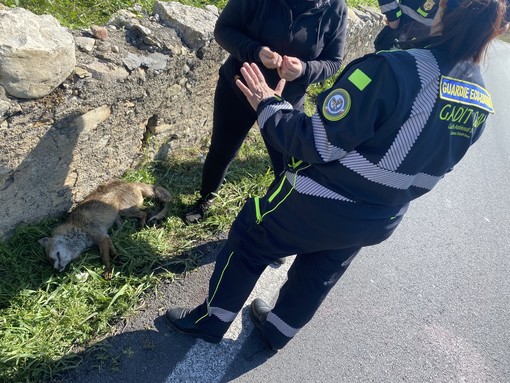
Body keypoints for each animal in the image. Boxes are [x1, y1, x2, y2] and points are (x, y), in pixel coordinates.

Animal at [37, 182, 172, 280]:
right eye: (50, 261)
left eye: (55, 256)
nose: (57, 269)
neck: (77, 228)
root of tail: (131, 183)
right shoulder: (105, 236)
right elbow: (112, 250)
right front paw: (117, 258)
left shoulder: (100, 237)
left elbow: (104, 257)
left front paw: (107, 270)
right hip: (119, 214)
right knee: (123, 222)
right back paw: (120, 231)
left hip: (124, 210)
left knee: (144, 213)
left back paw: (141, 225)